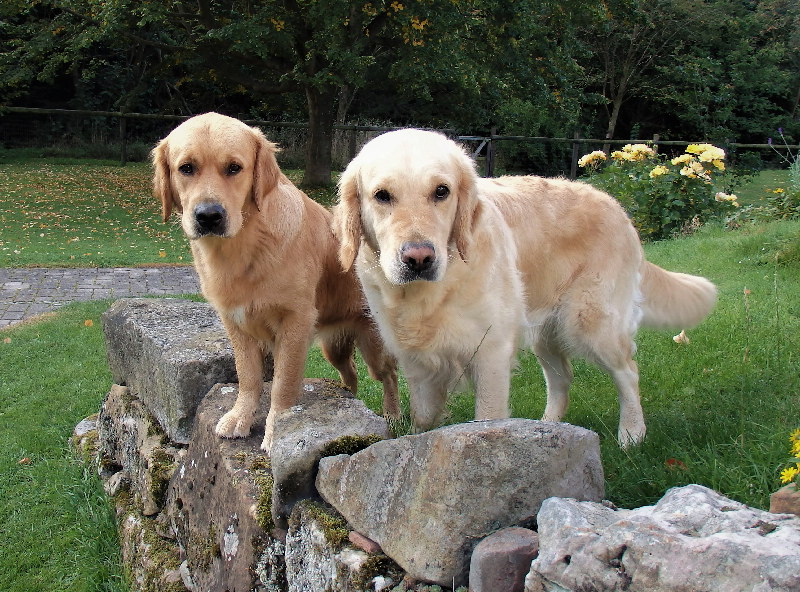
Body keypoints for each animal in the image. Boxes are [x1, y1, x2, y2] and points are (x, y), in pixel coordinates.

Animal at [152, 113, 398, 450]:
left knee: (389, 375)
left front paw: (277, 432)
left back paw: (394, 417)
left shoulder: (294, 323)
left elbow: (283, 384)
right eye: (186, 168)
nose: (209, 216)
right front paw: (240, 417)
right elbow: (248, 377)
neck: (246, 245)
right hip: (333, 348)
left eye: (234, 168)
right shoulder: (236, 323)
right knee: (351, 373)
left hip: (374, 346)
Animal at [332, 128, 720, 444]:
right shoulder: (417, 362)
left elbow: (486, 419)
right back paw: (547, 429)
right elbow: (423, 419)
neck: (432, 295)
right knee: (563, 377)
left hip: (590, 322)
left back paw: (631, 434)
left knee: (628, 372)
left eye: (442, 191)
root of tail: (616, 206)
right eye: (382, 195)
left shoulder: (490, 353)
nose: (419, 259)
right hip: (544, 330)